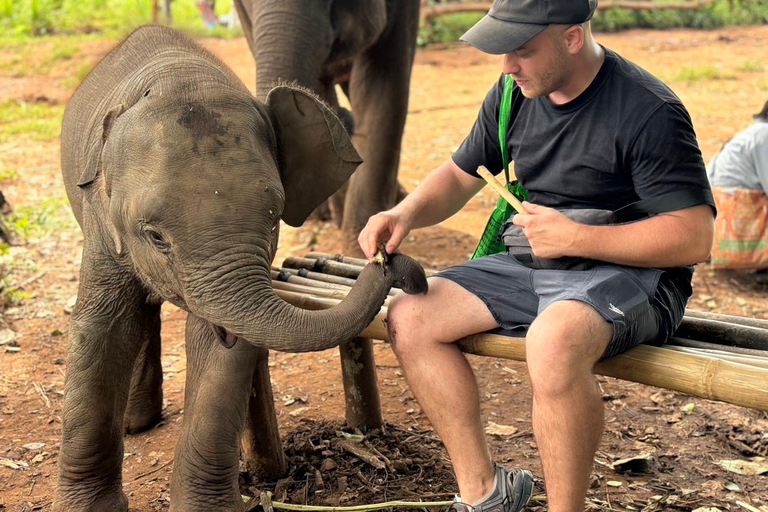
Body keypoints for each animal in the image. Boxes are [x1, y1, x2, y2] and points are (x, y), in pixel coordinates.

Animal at [55, 26, 426, 512]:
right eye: (155, 237)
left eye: (273, 217)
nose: (392, 259)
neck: (181, 76)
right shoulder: (101, 220)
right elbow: (103, 328)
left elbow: (219, 348)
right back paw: (137, 426)